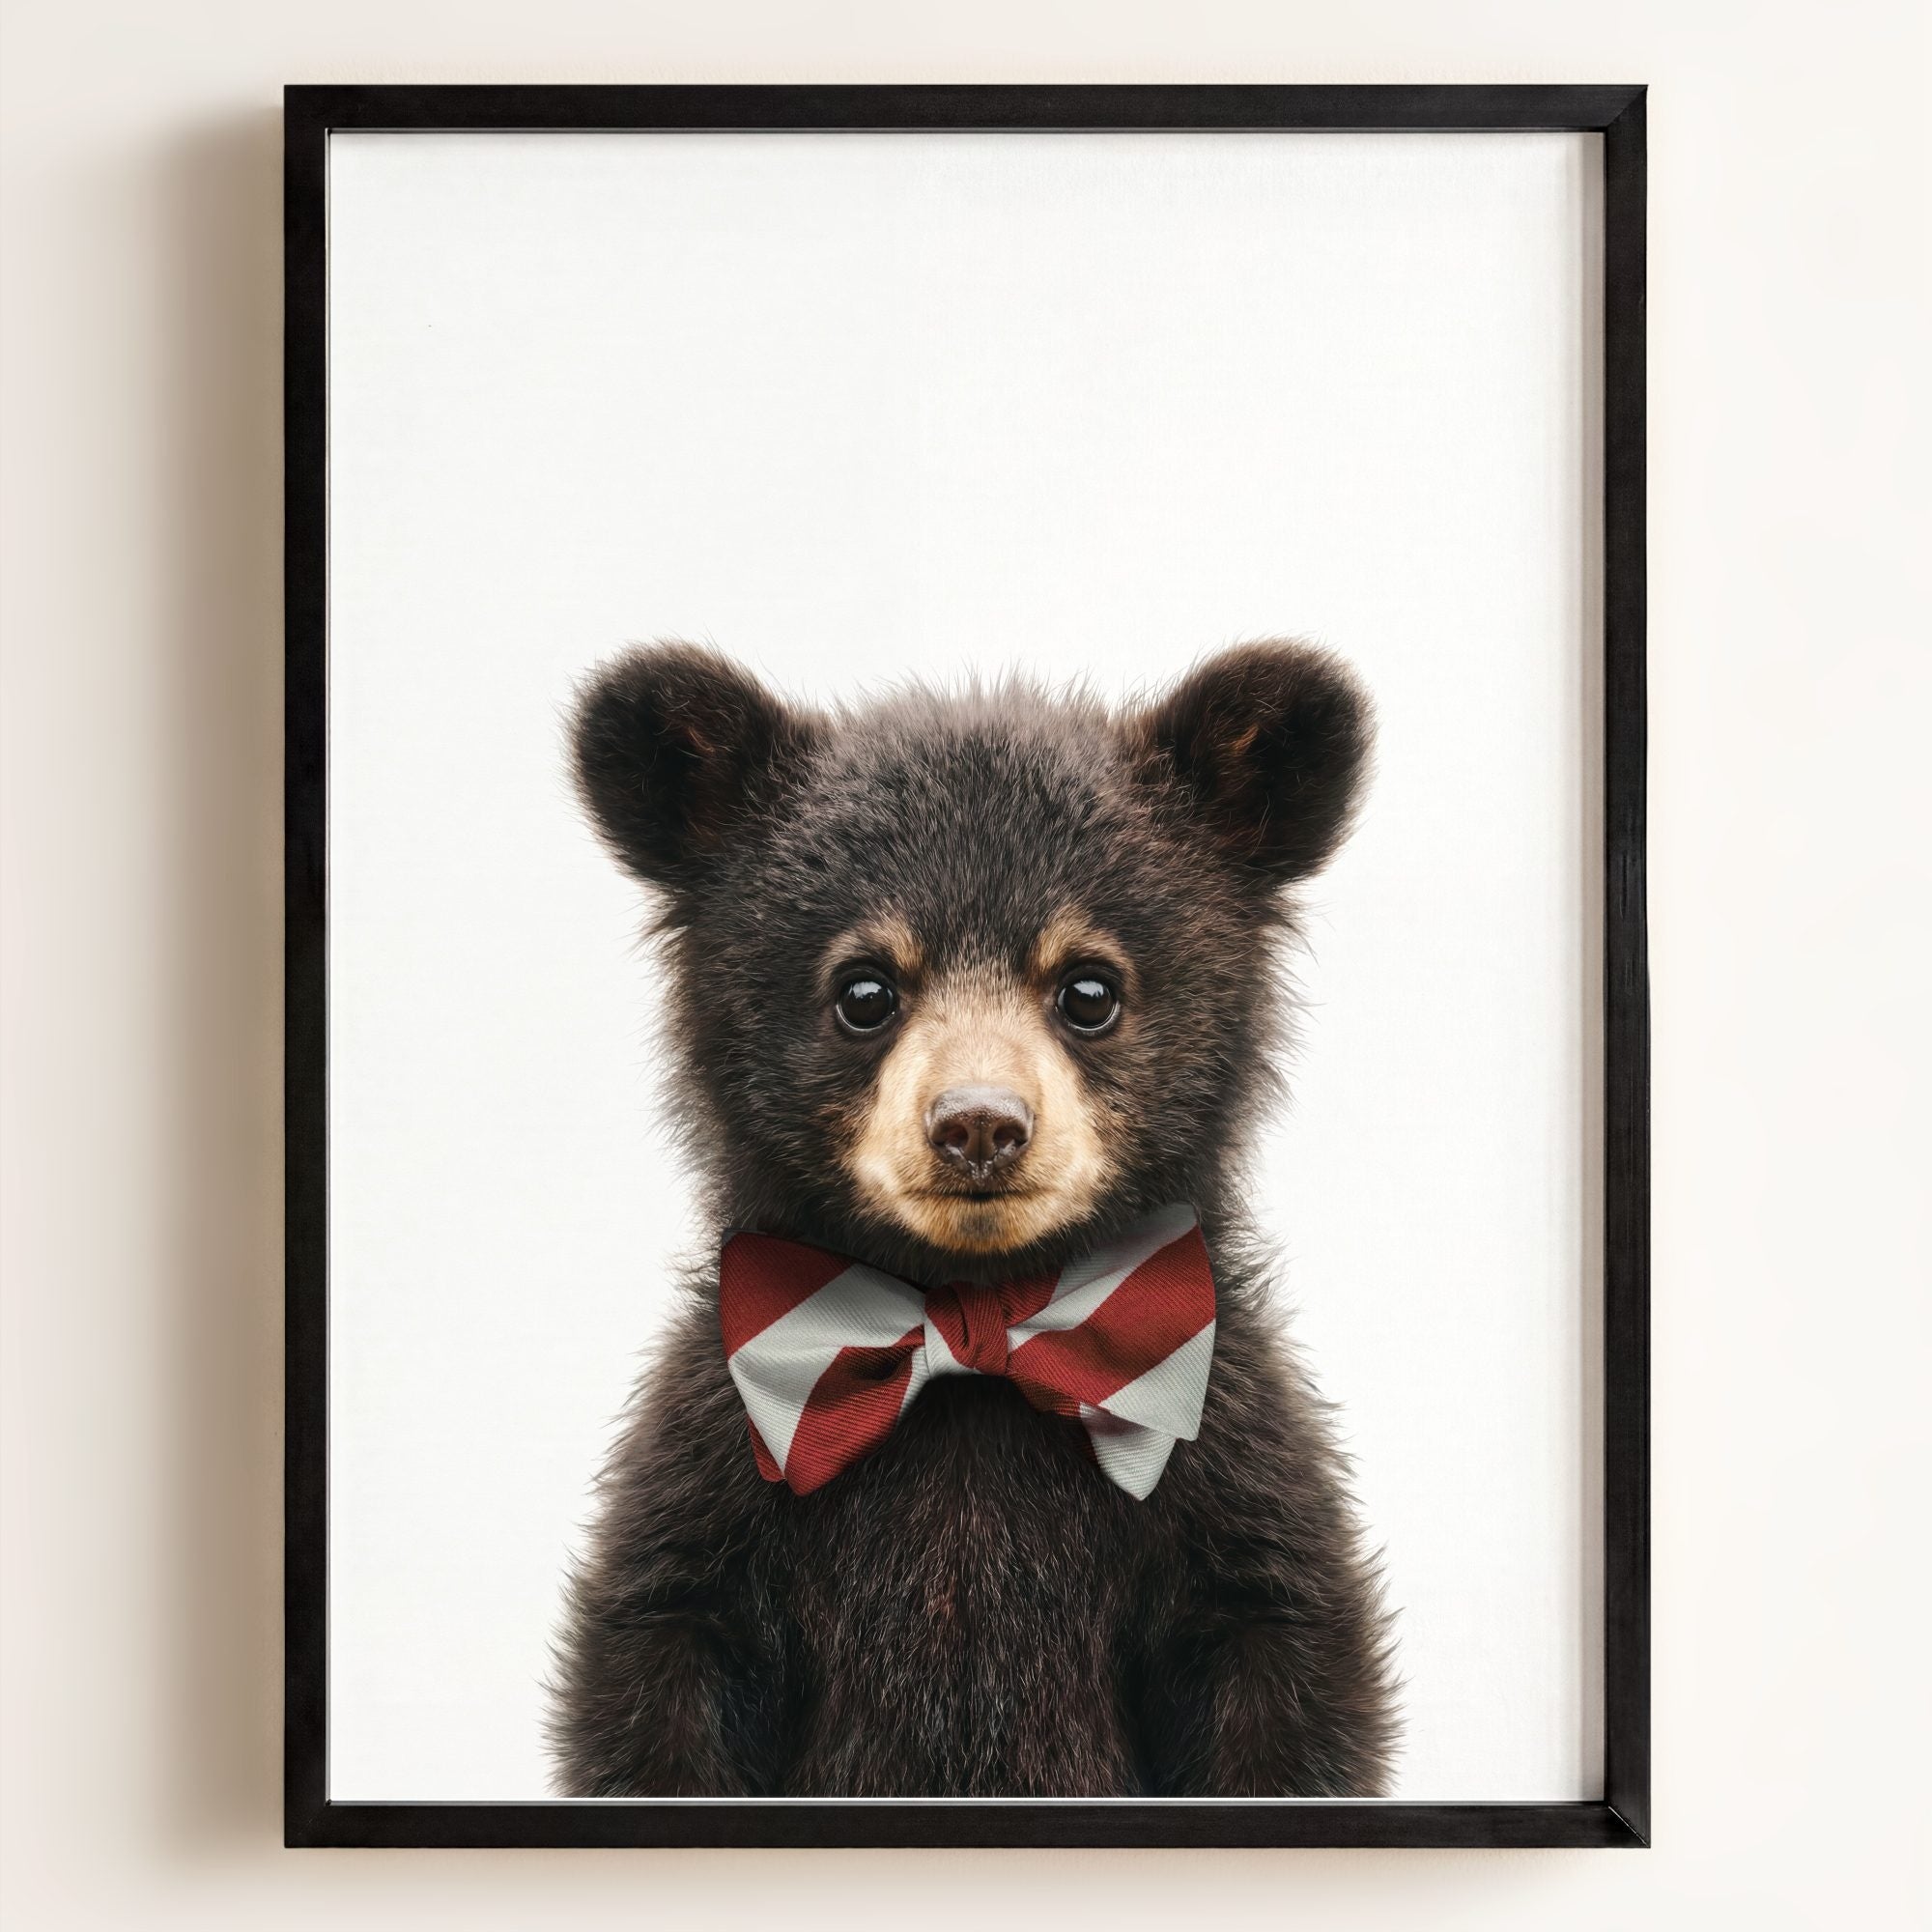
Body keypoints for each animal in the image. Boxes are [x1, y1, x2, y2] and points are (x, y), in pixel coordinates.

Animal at [549, 638, 1397, 1798]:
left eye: (1089, 987)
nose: (979, 1125)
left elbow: (1282, 1670)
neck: (974, 1319)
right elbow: (659, 1672)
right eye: (864, 989)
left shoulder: (1230, 1474)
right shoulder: (713, 1480)